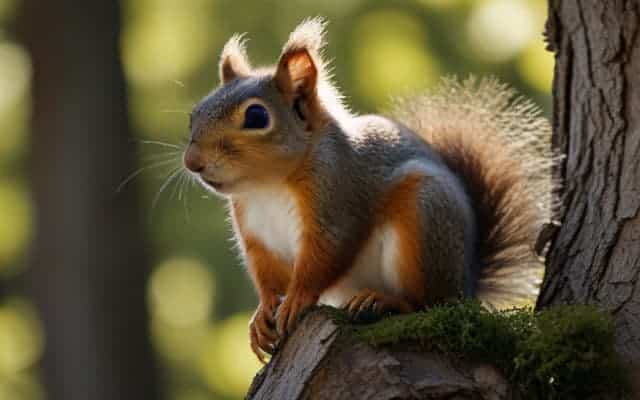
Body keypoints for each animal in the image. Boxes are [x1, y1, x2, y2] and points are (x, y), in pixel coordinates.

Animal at [183, 18, 555, 362]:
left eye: (257, 116)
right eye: (194, 114)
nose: (192, 162)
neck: (267, 186)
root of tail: (467, 286)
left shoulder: (338, 197)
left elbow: (326, 256)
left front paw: (297, 299)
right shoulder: (257, 234)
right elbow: (267, 275)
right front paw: (262, 316)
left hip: (424, 215)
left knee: (427, 303)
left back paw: (384, 300)